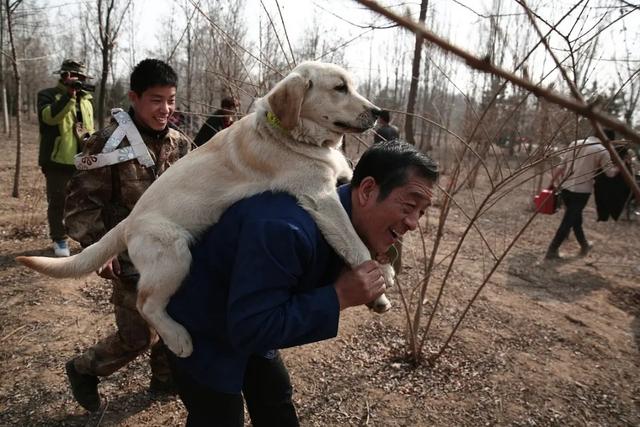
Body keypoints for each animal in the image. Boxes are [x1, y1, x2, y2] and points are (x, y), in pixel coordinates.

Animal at [17, 61, 392, 358]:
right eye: (340, 88)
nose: (377, 112)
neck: (292, 135)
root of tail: (129, 222)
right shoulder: (320, 196)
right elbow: (354, 241)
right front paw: (376, 285)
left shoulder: (341, 179)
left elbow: (362, 231)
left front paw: (385, 270)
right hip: (175, 257)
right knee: (145, 303)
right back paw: (178, 339)